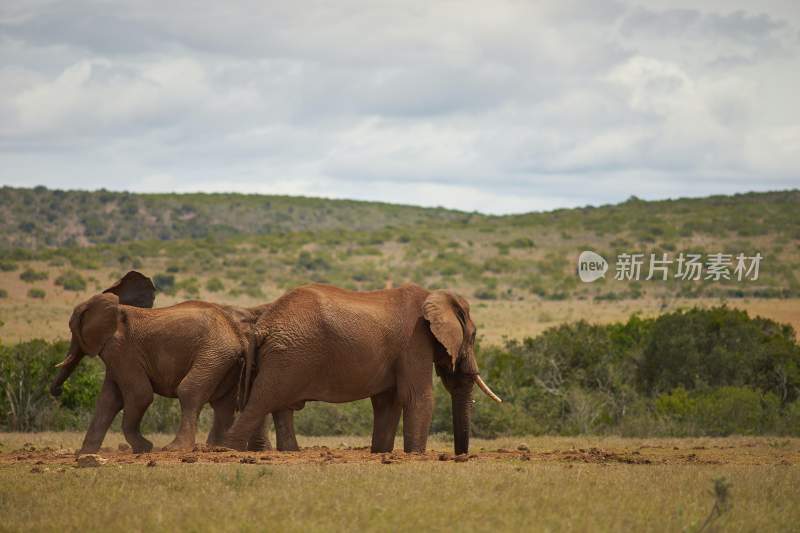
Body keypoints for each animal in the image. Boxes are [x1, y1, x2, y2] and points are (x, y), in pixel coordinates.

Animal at [50, 270, 300, 454]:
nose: (57, 392)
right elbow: (108, 400)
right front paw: (84, 453)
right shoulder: (117, 354)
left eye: (72, 328)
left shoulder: (121, 349)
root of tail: (236, 333)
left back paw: (176, 449)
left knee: (189, 391)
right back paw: (216, 448)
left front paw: (144, 449)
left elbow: (139, 395)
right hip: (226, 361)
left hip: (214, 354)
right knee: (223, 403)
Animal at [222, 282, 504, 454]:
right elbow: (417, 397)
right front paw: (415, 454)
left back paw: (290, 452)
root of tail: (262, 326)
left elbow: (388, 402)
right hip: (288, 355)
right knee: (262, 402)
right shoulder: (414, 341)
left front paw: (380, 452)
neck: (433, 296)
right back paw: (228, 450)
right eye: (474, 335)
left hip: (284, 355)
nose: (460, 456)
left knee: (280, 407)